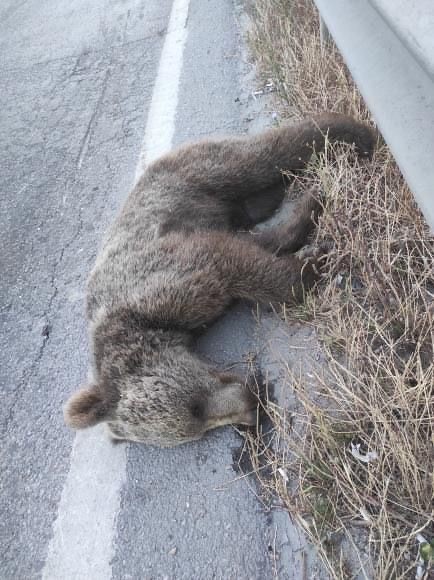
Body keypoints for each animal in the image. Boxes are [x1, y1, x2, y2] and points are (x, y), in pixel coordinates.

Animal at [64, 114, 376, 448]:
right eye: (198, 430)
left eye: (195, 408)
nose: (252, 410)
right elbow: (255, 247)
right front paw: (306, 239)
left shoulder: (164, 279)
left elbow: (237, 263)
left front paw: (309, 258)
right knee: (255, 201)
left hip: (194, 176)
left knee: (260, 158)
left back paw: (352, 134)